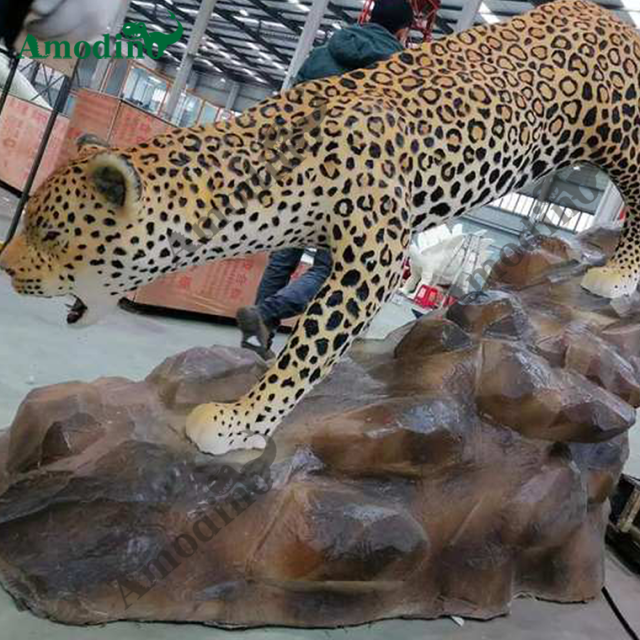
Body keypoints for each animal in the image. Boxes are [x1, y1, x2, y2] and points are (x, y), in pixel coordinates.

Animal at [2, 0, 639, 456]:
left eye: (50, 235)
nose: (4, 267)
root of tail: (612, 18)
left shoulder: (373, 261)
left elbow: (307, 350)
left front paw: (237, 422)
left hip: (625, 135)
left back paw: (616, 275)